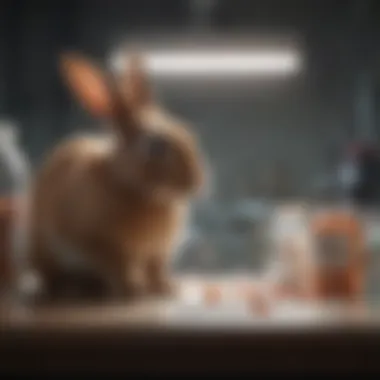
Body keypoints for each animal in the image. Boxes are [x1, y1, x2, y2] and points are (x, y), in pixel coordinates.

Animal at [27, 52, 206, 302]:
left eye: (185, 129)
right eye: (156, 147)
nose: (197, 182)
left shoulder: (157, 253)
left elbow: (156, 269)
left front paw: (165, 288)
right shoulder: (100, 244)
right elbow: (119, 267)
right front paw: (133, 291)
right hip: (45, 252)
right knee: (51, 277)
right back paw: (71, 289)